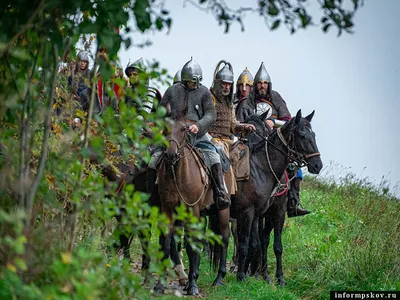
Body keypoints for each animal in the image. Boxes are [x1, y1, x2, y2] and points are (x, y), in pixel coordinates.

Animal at [155, 118, 233, 296]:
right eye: (164, 128)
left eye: (183, 129)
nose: (171, 154)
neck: (177, 174)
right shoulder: (168, 210)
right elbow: (166, 243)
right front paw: (159, 285)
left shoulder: (192, 211)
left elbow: (192, 245)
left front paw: (192, 284)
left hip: (222, 211)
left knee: (224, 238)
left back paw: (219, 278)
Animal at [230, 109, 324, 282]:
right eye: (302, 135)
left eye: (312, 135)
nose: (317, 165)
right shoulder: (253, 212)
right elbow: (253, 241)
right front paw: (249, 271)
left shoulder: (277, 211)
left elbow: (273, 244)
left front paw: (275, 277)